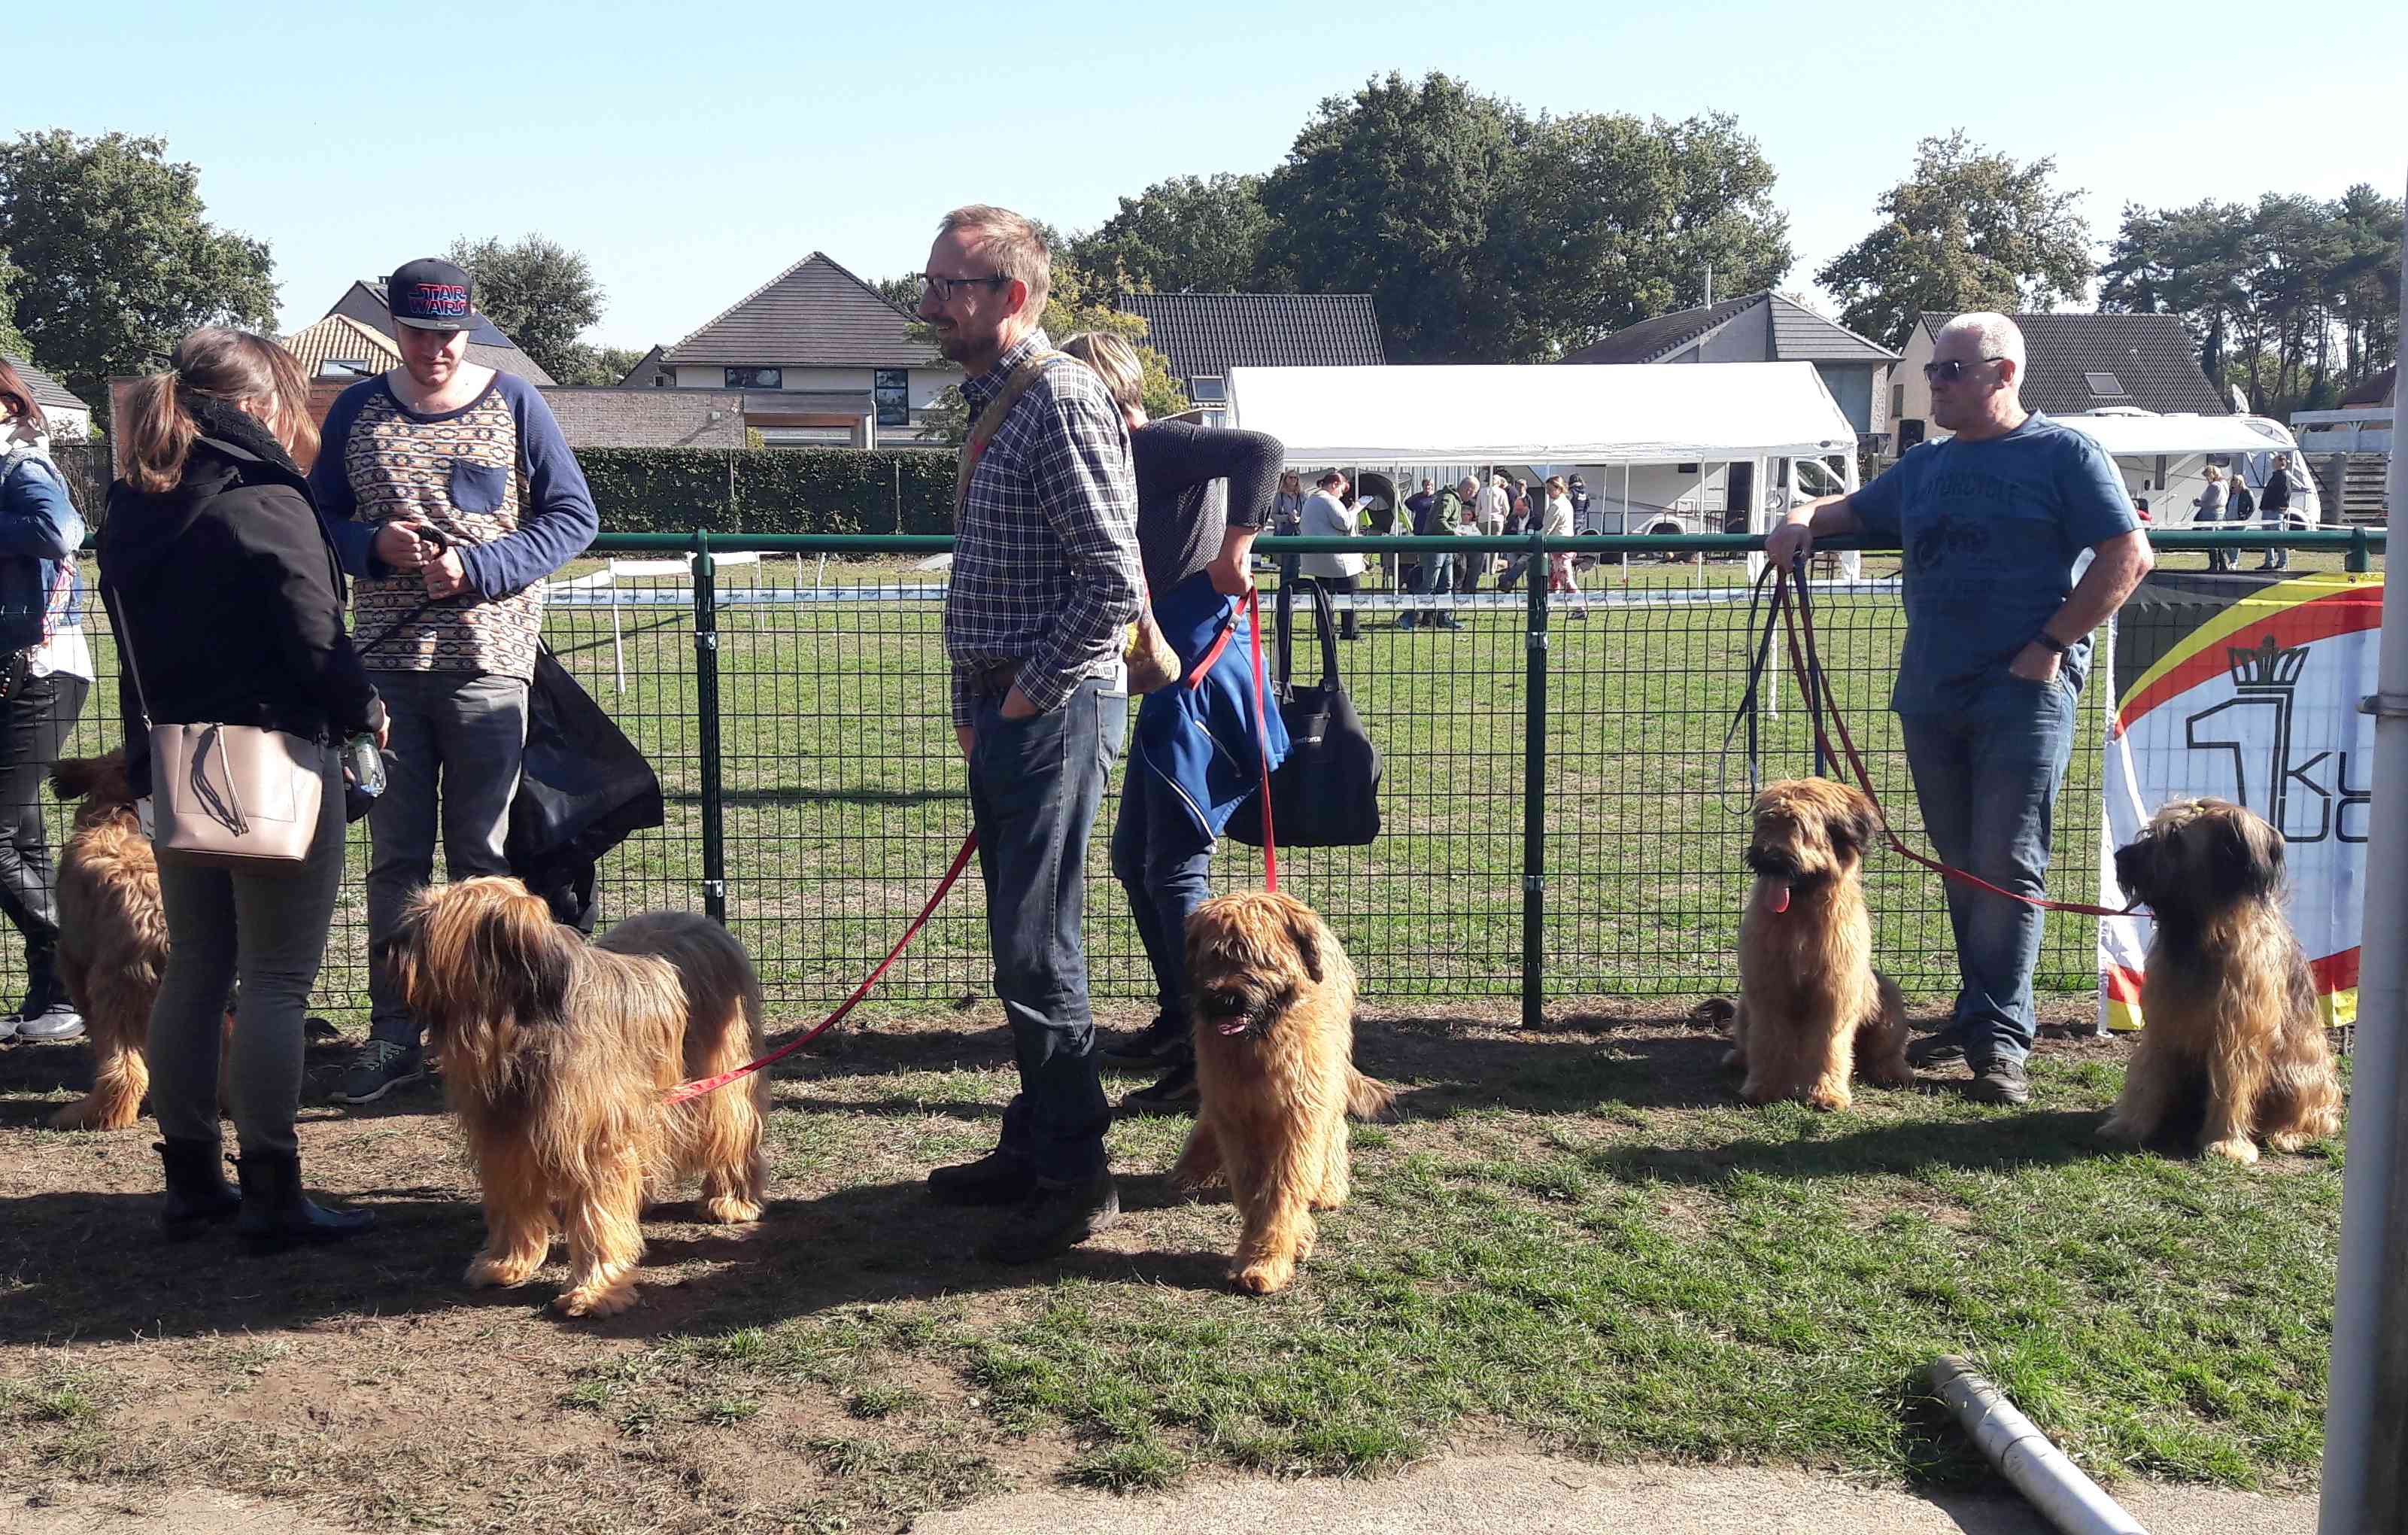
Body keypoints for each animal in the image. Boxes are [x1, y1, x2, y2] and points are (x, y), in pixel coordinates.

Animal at [379, 877, 767, 1317]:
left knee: (733, 1128)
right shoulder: (505, 1133)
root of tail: (702, 919)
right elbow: (511, 1198)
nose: (384, 947)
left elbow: (597, 1216)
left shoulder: (596, 1140)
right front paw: (505, 1263)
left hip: (722, 1073)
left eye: (429, 924)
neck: (519, 1025)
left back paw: (732, 1199)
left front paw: (596, 1290)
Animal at [1169, 890, 1393, 1295]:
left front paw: (1265, 1262)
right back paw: (1192, 1167)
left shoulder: (1299, 1114)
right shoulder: (1235, 1113)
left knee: (1333, 1127)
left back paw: (1329, 1186)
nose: (1224, 1000)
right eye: (1214, 955)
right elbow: (1252, 1187)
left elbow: (1284, 1187)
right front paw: (1286, 1241)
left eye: (1257, 958)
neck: (1259, 1042)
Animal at [1723, 778, 1909, 1111]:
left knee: (1885, 1049)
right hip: (1744, 1009)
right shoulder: (1768, 989)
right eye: (1767, 822)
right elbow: (1768, 1040)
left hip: (1887, 996)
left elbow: (1829, 1045)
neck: (1800, 911)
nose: (1767, 857)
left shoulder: (1835, 991)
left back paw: (1894, 1070)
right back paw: (1737, 1058)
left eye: (1798, 826)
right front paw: (1764, 1087)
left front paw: (1827, 1093)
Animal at [2101, 798, 2342, 1164]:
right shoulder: (2163, 1023)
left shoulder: (2237, 1031)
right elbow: (2147, 1076)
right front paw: (2127, 1126)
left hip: (2302, 1072)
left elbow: (2232, 1083)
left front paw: (2227, 1144)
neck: (2203, 932)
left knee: (2315, 1115)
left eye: (2175, 838)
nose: (2121, 857)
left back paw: (2289, 1134)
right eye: (2151, 831)